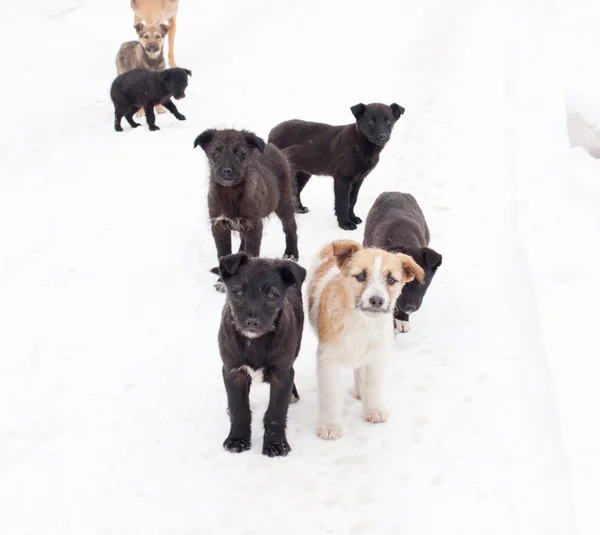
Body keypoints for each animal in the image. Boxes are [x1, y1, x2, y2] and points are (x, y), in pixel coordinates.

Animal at [195, 128, 300, 294]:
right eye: (216, 153)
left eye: (240, 153)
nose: (226, 171)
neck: (230, 193)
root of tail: (273, 147)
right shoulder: (219, 226)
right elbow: (223, 255)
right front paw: (222, 281)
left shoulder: (254, 226)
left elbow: (252, 254)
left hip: (284, 203)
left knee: (290, 228)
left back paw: (291, 253)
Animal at [218, 253, 308, 458]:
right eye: (238, 292)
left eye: (271, 295)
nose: (252, 322)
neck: (254, 342)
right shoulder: (232, 371)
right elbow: (239, 408)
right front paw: (237, 439)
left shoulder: (281, 373)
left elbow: (276, 411)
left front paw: (276, 444)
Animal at [268, 103, 406, 231]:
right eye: (371, 121)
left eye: (388, 121)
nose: (383, 136)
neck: (361, 145)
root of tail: (273, 130)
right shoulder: (342, 177)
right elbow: (343, 202)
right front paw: (345, 223)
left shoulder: (358, 179)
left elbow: (352, 201)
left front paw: (353, 218)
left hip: (303, 172)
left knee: (296, 191)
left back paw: (300, 209)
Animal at [308, 241, 424, 442]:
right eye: (360, 276)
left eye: (391, 280)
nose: (376, 300)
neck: (362, 324)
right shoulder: (326, 359)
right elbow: (330, 396)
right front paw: (330, 426)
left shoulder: (376, 356)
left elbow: (372, 384)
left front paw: (373, 410)